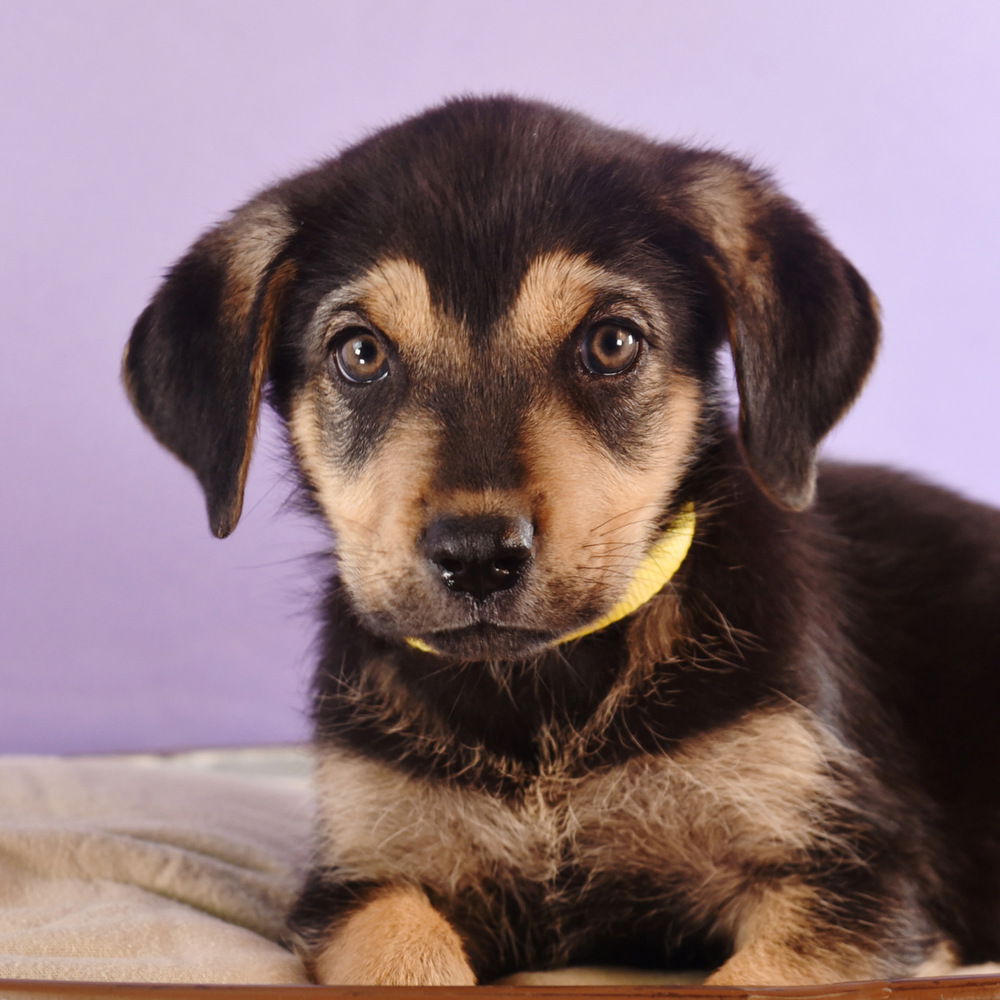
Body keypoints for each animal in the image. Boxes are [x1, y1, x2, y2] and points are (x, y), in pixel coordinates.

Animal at [125, 97, 1000, 988]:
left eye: (612, 343)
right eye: (360, 353)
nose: (478, 557)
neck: (541, 696)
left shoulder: (854, 881)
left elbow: (753, 980)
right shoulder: (362, 876)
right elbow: (404, 954)